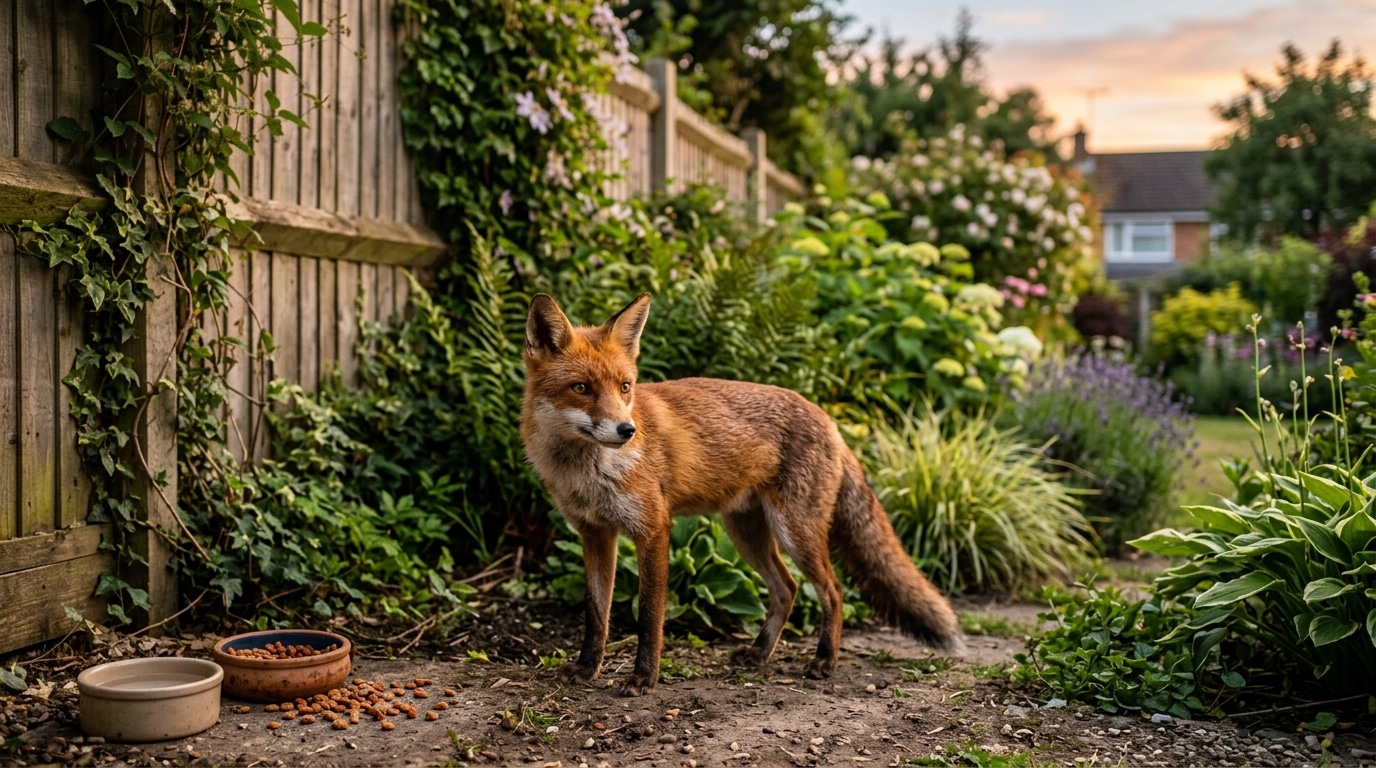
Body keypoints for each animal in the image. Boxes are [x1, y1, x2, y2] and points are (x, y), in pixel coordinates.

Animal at [521, 292, 962, 696]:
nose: (627, 430)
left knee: (833, 592)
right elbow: (596, 614)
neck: (588, 473)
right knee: (787, 589)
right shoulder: (595, 534)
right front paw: (586, 668)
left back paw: (824, 661)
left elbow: (649, 616)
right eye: (581, 387)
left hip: (795, 533)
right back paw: (759, 653)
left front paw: (644, 678)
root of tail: (828, 418)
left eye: (625, 387)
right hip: (745, 534)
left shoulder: (653, 530)